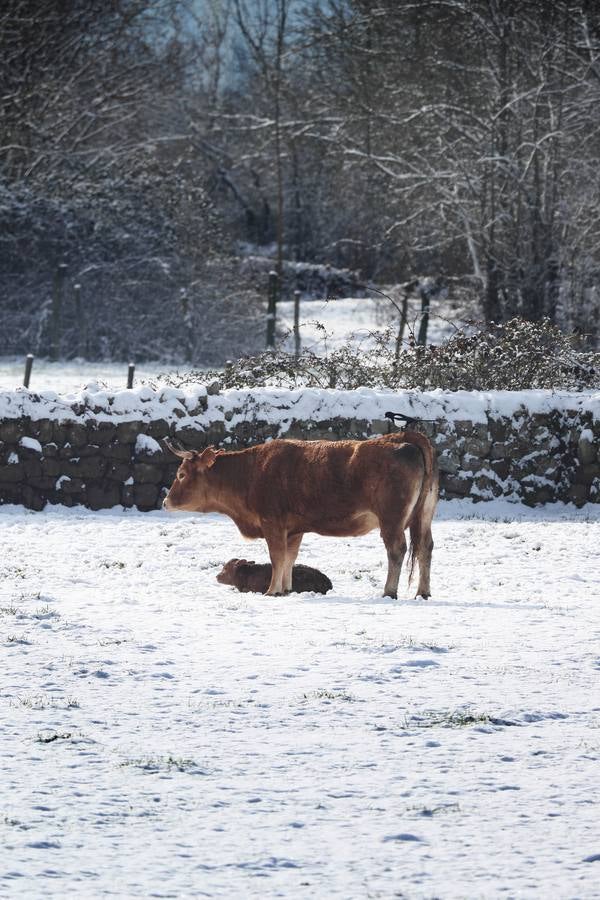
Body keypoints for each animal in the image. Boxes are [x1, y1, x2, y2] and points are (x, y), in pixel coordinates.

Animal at [162, 434, 438, 596]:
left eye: (181, 475)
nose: (165, 502)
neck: (251, 472)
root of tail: (405, 439)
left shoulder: (272, 523)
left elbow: (277, 557)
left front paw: (271, 590)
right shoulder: (294, 530)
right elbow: (289, 558)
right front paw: (285, 589)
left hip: (391, 520)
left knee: (396, 550)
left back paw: (389, 591)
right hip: (424, 517)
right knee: (425, 547)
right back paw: (423, 592)